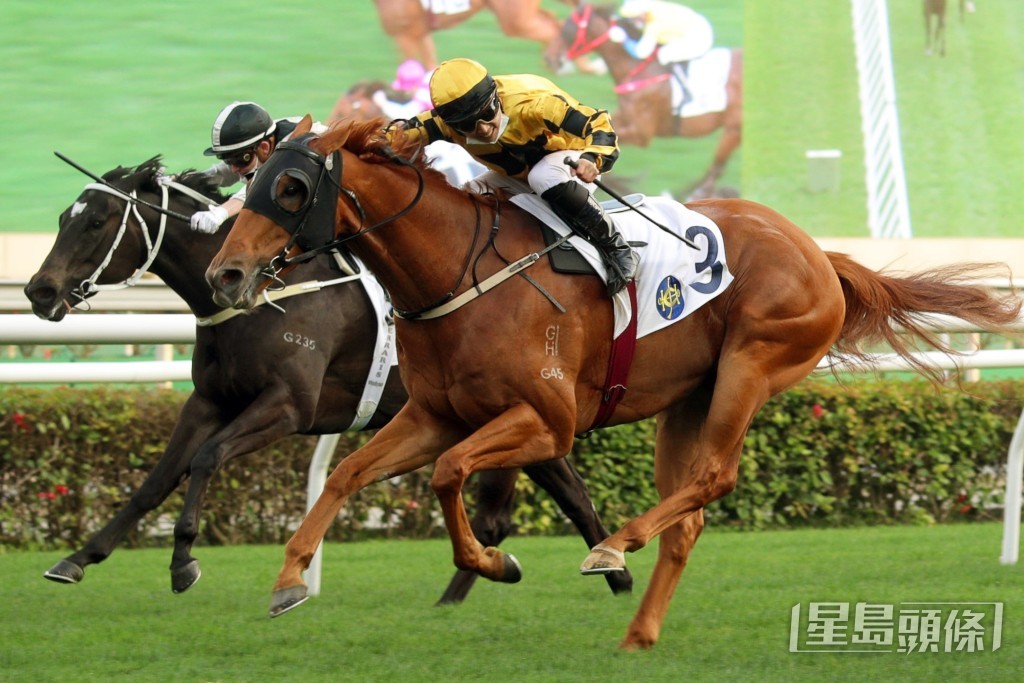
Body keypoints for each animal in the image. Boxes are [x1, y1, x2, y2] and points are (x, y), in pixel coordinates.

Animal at [24, 157, 632, 601]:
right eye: (63, 217)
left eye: (96, 221)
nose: (38, 291)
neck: (261, 297)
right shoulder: (209, 401)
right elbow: (155, 480)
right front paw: (78, 558)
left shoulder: (289, 406)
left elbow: (207, 458)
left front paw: (183, 561)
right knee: (544, 496)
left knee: (551, 498)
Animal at [205, 117, 1020, 649]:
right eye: (252, 181)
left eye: (290, 187)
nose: (227, 274)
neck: (458, 272)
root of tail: (821, 253)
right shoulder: (434, 414)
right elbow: (349, 473)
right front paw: (289, 578)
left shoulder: (545, 420)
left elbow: (448, 472)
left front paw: (495, 562)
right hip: (687, 402)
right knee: (687, 514)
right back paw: (638, 634)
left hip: (752, 365)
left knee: (714, 480)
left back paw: (614, 548)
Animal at [557, 4, 742, 200]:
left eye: (567, 29)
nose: (551, 59)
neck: (635, 69)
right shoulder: (624, 117)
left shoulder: (642, 134)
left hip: (733, 128)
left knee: (716, 167)